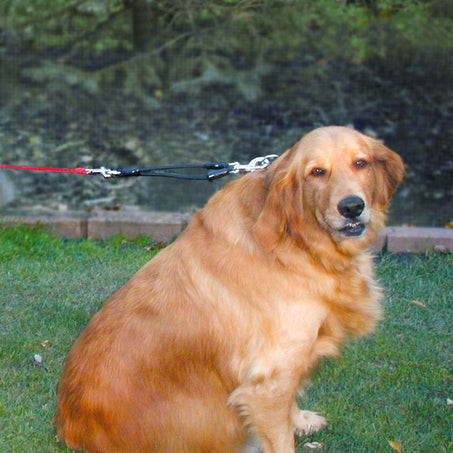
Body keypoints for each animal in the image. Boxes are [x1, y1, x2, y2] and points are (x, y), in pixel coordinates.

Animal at [55, 125, 402, 450]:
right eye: (317, 172)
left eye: (361, 163)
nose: (352, 207)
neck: (296, 241)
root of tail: (69, 430)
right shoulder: (269, 379)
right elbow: (280, 436)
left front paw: (300, 420)